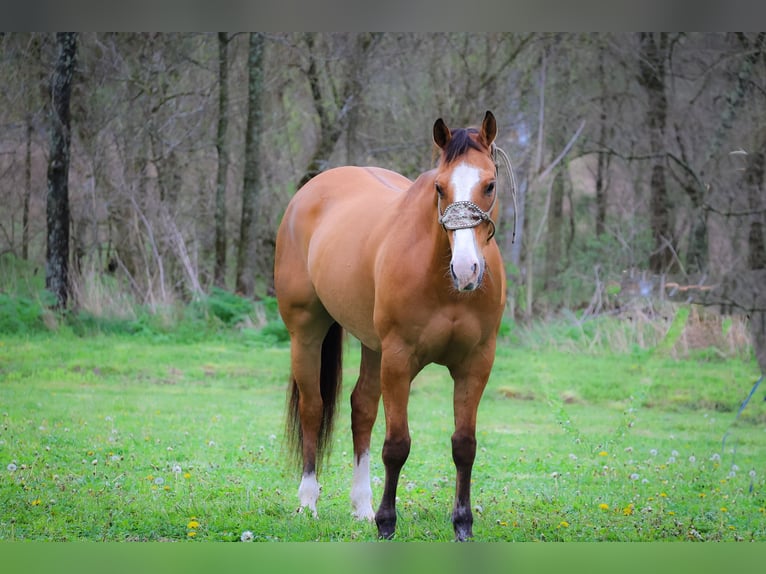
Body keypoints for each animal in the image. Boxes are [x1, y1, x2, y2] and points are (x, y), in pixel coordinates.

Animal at [276, 110, 510, 544]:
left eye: (489, 184)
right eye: (439, 186)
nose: (466, 269)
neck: (441, 280)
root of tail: (310, 191)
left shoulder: (475, 363)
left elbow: (464, 445)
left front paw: (462, 524)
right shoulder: (400, 359)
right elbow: (397, 445)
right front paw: (387, 523)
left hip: (373, 347)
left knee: (362, 409)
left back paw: (361, 507)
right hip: (307, 331)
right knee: (313, 407)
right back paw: (309, 501)